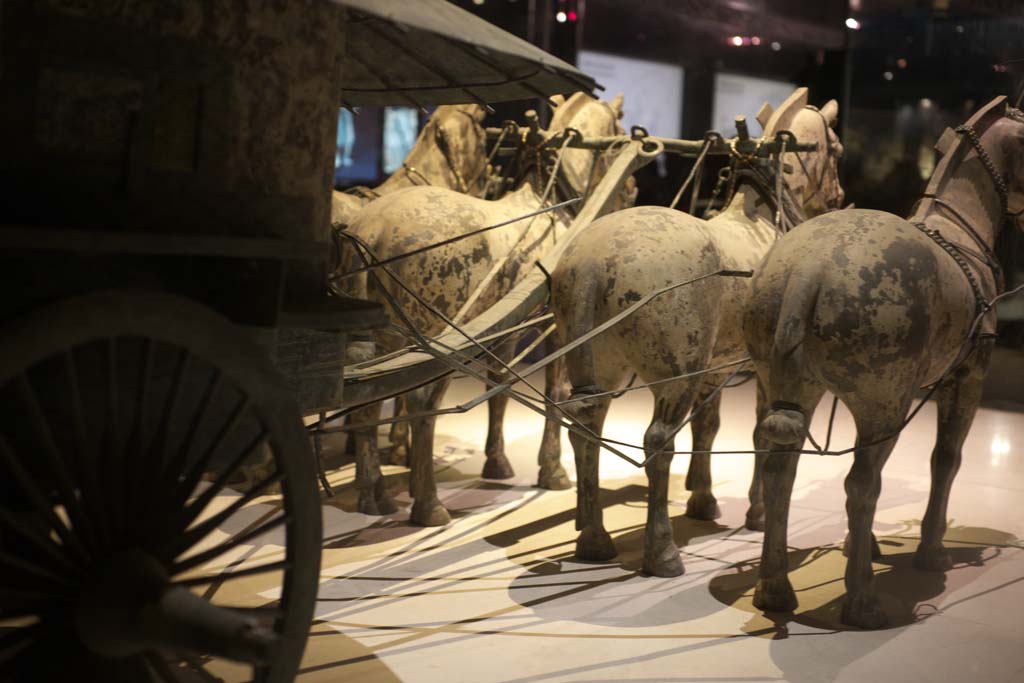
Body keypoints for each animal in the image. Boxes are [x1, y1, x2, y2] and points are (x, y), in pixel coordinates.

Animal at [344, 93, 626, 528]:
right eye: (620, 131)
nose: (632, 189)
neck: (551, 208)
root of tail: (370, 230)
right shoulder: (556, 328)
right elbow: (554, 393)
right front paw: (553, 471)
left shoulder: (506, 334)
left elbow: (500, 388)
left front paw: (497, 462)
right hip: (433, 344)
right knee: (421, 408)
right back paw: (428, 505)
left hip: (381, 344)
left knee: (368, 404)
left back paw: (374, 494)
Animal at [557, 85, 843, 577]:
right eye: (838, 149)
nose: (841, 197)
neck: (759, 219)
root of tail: (593, 259)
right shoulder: (761, 369)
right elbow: (756, 435)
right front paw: (757, 512)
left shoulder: (717, 368)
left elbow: (708, 428)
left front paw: (704, 501)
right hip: (676, 375)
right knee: (657, 441)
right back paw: (662, 552)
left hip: (599, 370)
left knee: (585, 428)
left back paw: (594, 540)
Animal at [745, 97, 1024, 630]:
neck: (959, 232)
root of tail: (809, 268)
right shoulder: (964, 380)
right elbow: (945, 460)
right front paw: (932, 551)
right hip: (885, 408)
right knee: (861, 485)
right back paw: (862, 600)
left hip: (792, 389)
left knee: (779, 472)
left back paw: (775, 589)